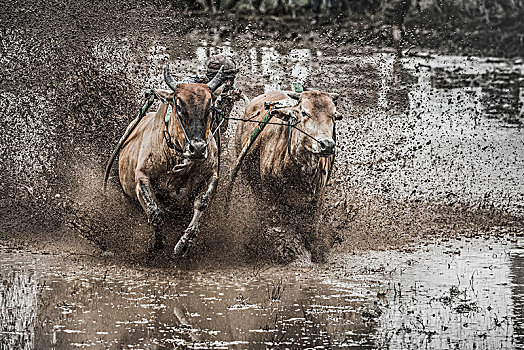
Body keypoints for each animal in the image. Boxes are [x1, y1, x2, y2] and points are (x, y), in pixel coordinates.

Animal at [106, 63, 225, 258]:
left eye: (209, 108)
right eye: (179, 106)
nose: (198, 148)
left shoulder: (212, 175)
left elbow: (202, 203)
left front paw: (184, 243)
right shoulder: (142, 177)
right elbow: (155, 212)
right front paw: (157, 243)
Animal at [233, 90, 340, 262]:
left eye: (333, 115)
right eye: (304, 113)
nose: (327, 145)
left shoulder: (317, 198)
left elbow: (311, 229)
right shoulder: (270, 197)